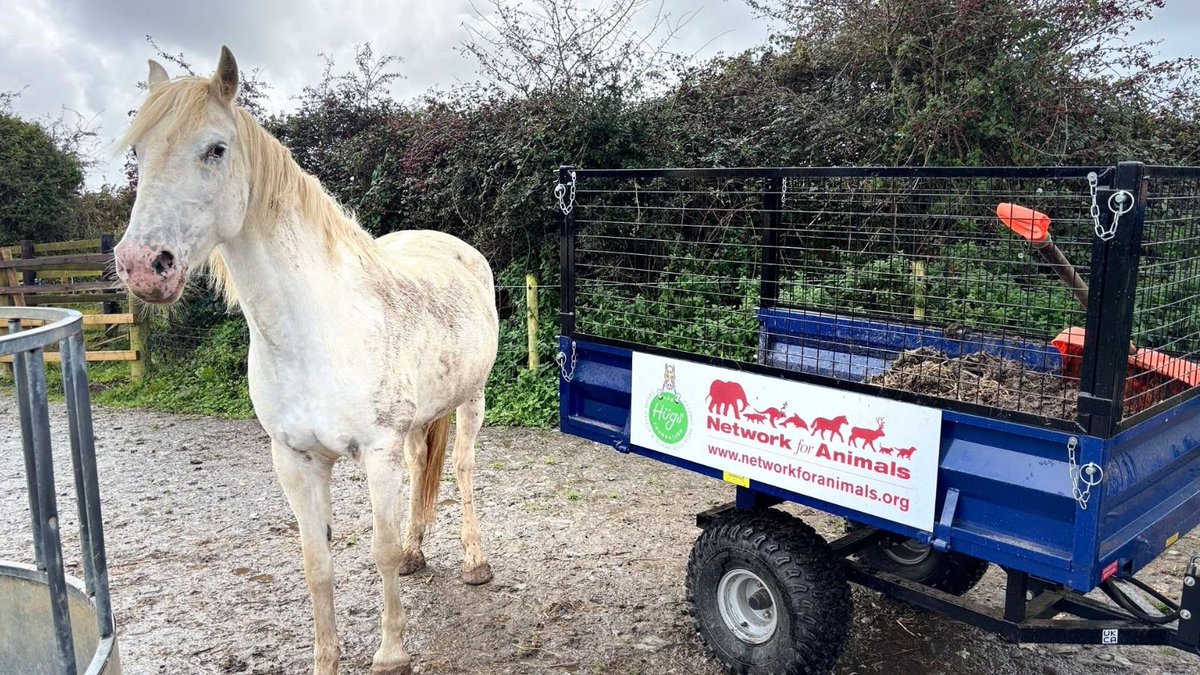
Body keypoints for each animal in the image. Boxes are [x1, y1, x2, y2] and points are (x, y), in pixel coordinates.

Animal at [114, 47, 499, 675]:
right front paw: (326, 657)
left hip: (472, 400)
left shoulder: (377, 453)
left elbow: (378, 551)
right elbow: (316, 564)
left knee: (462, 470)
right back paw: (419, 552)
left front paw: (391, 653)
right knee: (424, 464)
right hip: (420, 421)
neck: (314, 332)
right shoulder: (295, 461)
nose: (145, 265)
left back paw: (475, 563)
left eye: (216, 148)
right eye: (139, 152)